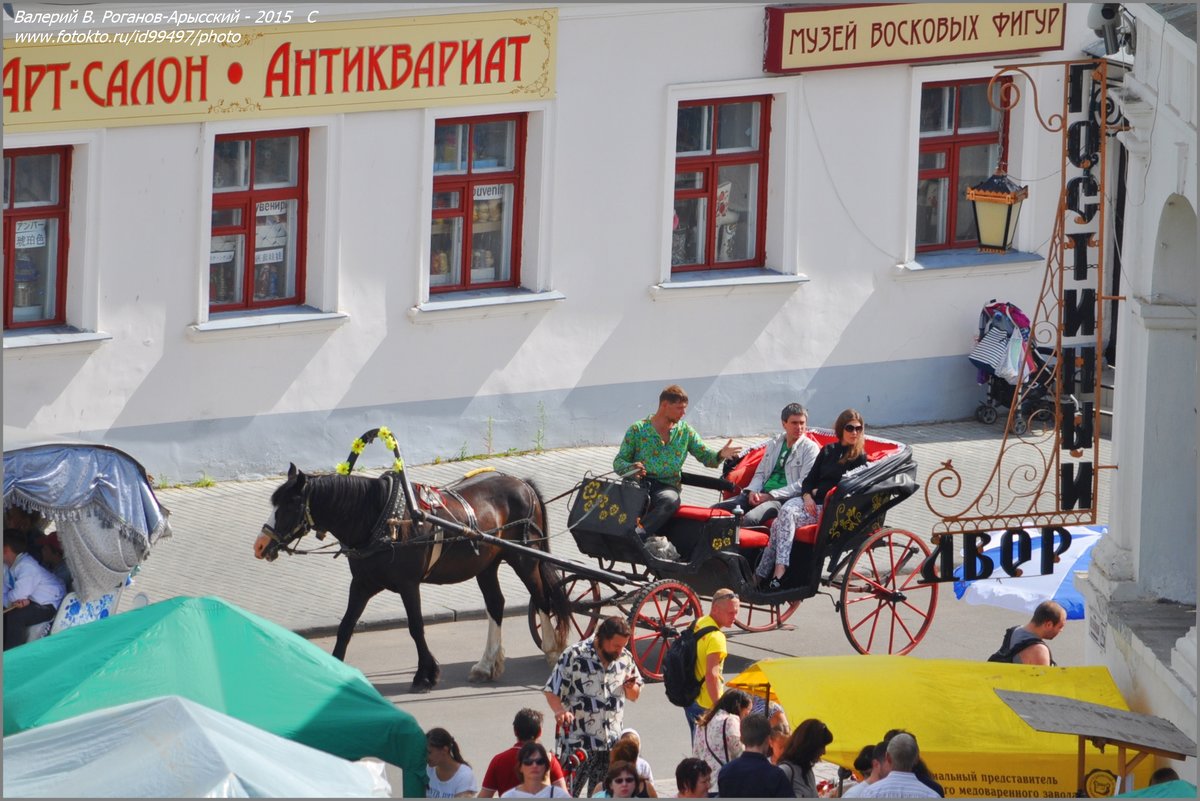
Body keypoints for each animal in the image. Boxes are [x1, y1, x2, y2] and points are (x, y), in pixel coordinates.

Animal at [250, 465, 568, 690]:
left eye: (290, 505)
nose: (260, 545)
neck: (381, 518)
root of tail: (523, 484)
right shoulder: (362, 584)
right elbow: (345, 627)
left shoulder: (408, 584)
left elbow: (416, 627)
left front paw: (426, 674)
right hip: (486, 565)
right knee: (496, 604)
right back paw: (486, 664)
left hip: (525, 558)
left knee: (541, 598)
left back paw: (552, 650)